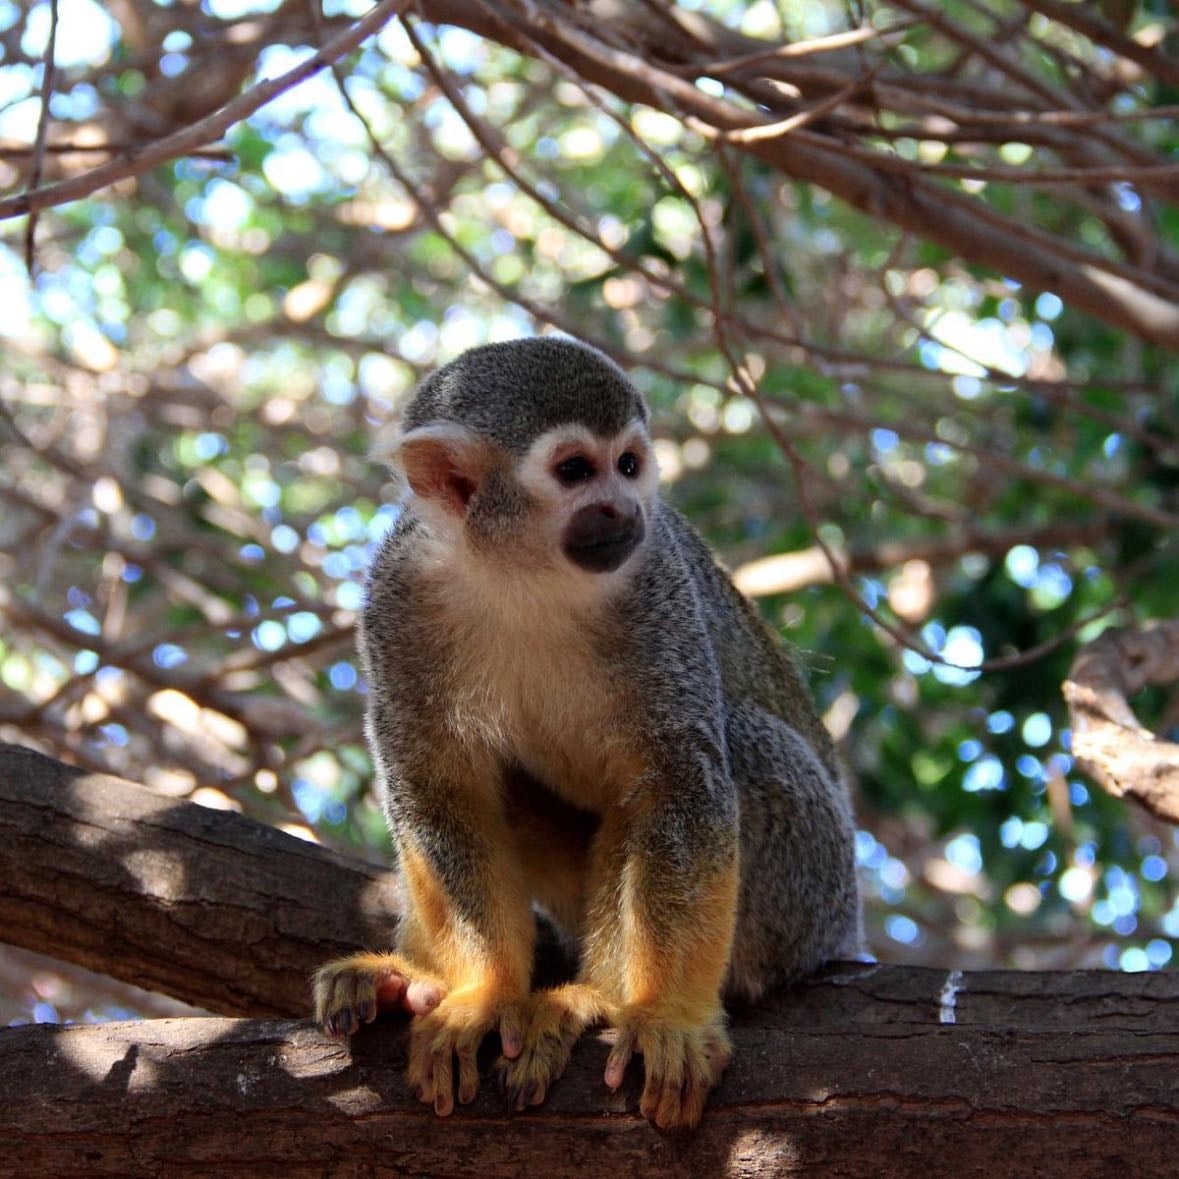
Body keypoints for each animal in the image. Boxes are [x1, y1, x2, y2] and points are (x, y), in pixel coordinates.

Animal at [314, 336, 863, 1129]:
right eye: (575, 470)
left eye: (629, 464)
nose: (623, 506)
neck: (524, 575)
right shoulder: (397, 595)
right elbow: (436, 790)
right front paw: (480, 993)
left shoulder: (657, 581)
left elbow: (677, 785)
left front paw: (667, 1015)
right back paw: (412, 978)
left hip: (809, 888)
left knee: (731, 755)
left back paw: (596, 999)